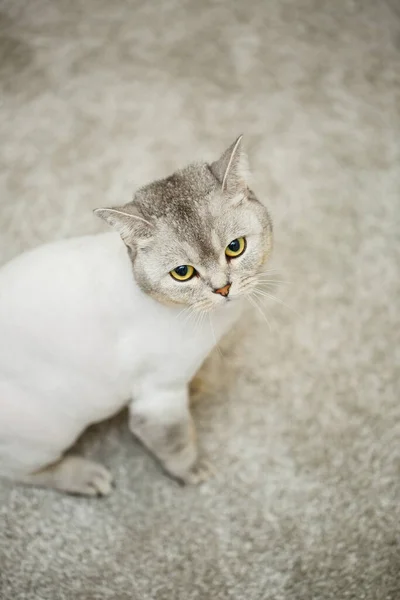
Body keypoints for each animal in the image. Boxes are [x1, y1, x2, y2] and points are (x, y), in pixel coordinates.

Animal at [0, 137, 274, 496]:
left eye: (235, 247)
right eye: (183, 273)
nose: (223, 288)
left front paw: (198, 384)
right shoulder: (158, 400)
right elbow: (175, 443)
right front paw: (192, 469)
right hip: (50, 431)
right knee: (16, 471)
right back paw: (83, 476)